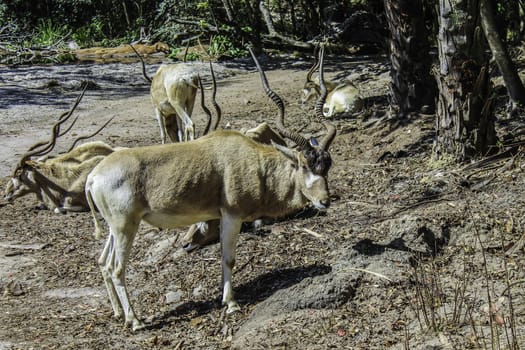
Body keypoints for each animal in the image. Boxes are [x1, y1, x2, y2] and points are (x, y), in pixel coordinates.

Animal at [84, 45, 334, 330]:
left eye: (327, 165)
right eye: (303, 164)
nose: (324, 201)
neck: (252, 160)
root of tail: (93, 176)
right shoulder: (232, 215)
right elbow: (228, 257)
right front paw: (232, 303)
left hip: (116, 227)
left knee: (104, 263)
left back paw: (118, 313)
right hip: (125, 226)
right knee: (117, 269)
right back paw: (135, 321)